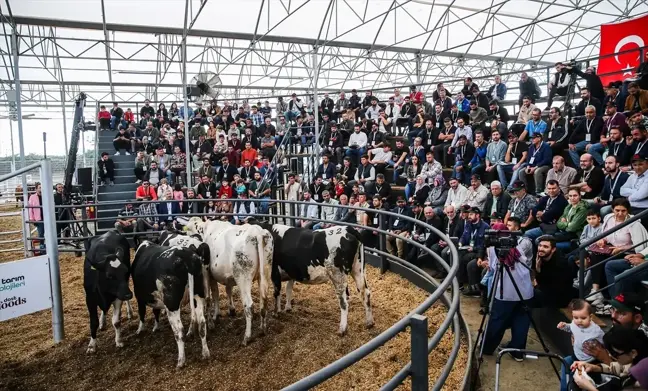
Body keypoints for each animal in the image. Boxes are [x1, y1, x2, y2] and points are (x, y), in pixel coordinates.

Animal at [185, 217, 274, 346]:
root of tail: (256, 231)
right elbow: (227, 290)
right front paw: (230, 310)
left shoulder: (208, 274)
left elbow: (211, 296)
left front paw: (213, 319)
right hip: (265, 272)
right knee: (264, 299)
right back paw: (263, 329)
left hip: (243, 277)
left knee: (249, 305)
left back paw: (246, 337)